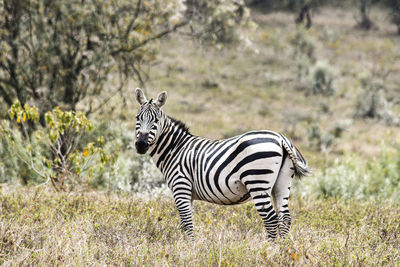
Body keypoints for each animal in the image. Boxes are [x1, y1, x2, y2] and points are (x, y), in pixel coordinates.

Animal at [134, 88, 310, 241]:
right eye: (137, 118)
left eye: (156, 120)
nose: (141, 145)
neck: (176, 148)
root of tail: (280, 138)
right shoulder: (188, 193)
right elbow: (184, 223)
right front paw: (185, 245)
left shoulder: (181, 187)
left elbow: (187, 222)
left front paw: (190, 248)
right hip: (282, 182)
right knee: (284, 217)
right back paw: (282, 249)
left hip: (257, 181)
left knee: (271, 218)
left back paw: (269, 249)